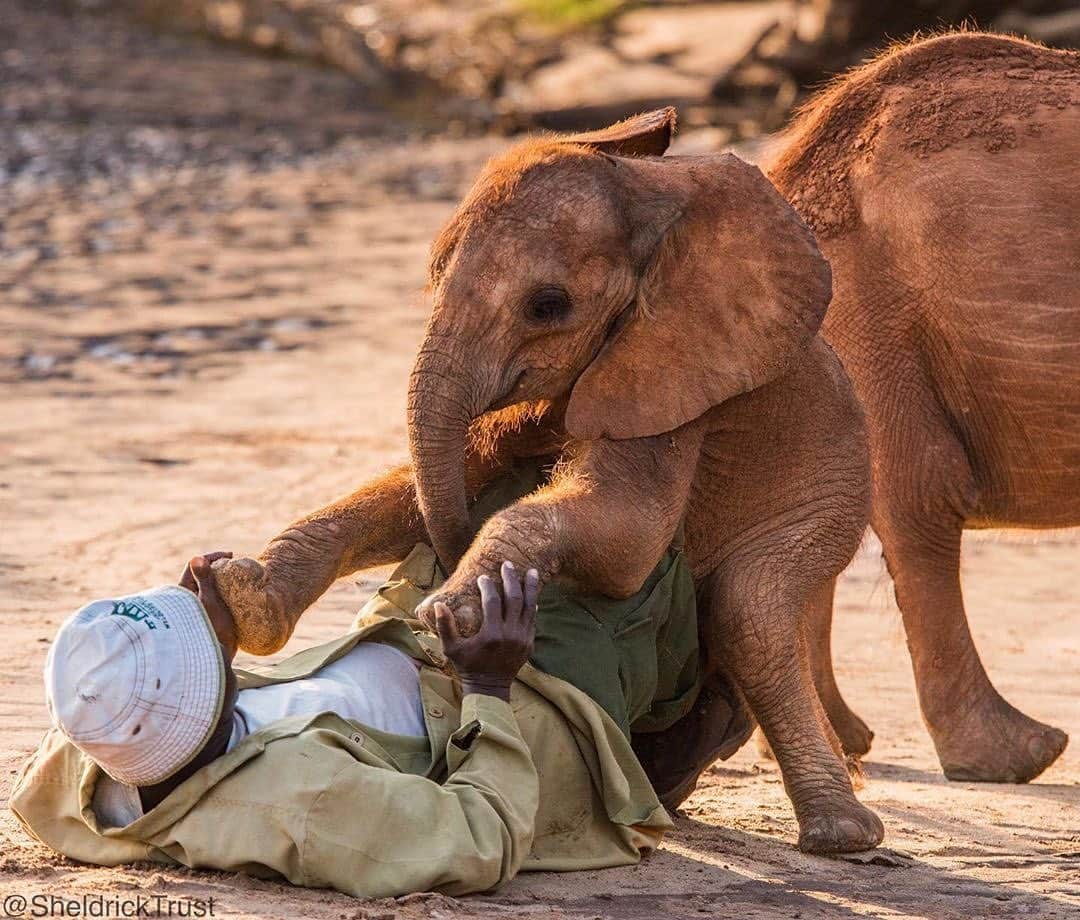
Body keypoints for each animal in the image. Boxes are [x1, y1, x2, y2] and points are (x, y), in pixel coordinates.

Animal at [212, 111, 885, 850]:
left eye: (547, 306)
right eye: (435, 271)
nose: (437, 571)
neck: (653, 196)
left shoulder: (676, 373)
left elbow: (627, 536)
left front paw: (458, 615)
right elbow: (463, 474)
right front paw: (242, 596)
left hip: (834, 507)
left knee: (750, 608)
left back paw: (841, 833)